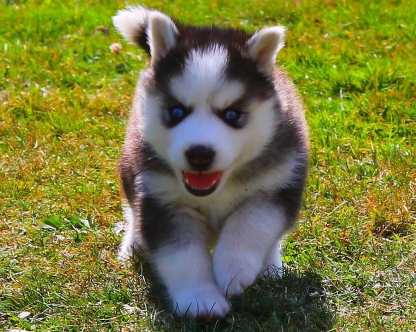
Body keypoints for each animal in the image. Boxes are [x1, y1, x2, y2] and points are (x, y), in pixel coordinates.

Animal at [112, 4, 308, 316]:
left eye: (232, 114)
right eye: (176, 111)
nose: (199, 154)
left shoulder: (276, 185)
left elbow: (251, 223)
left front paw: (233, 268)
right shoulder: (162, 200)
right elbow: (182, 256)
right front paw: (199, 299)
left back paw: (269, 265)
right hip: (130, 170)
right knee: (132, 210)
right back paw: (133, 244)